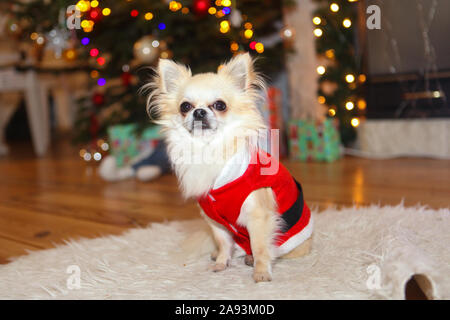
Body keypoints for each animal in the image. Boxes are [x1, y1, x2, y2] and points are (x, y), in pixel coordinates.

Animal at [145, 53, 312, 282]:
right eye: (185, 107)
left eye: (220, 105)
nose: (199, 112)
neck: (208, 148)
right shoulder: (215, 221)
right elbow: (224, 243)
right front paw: (222, 263)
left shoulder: (258, 215)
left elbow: (260, 247)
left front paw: (261, 272)